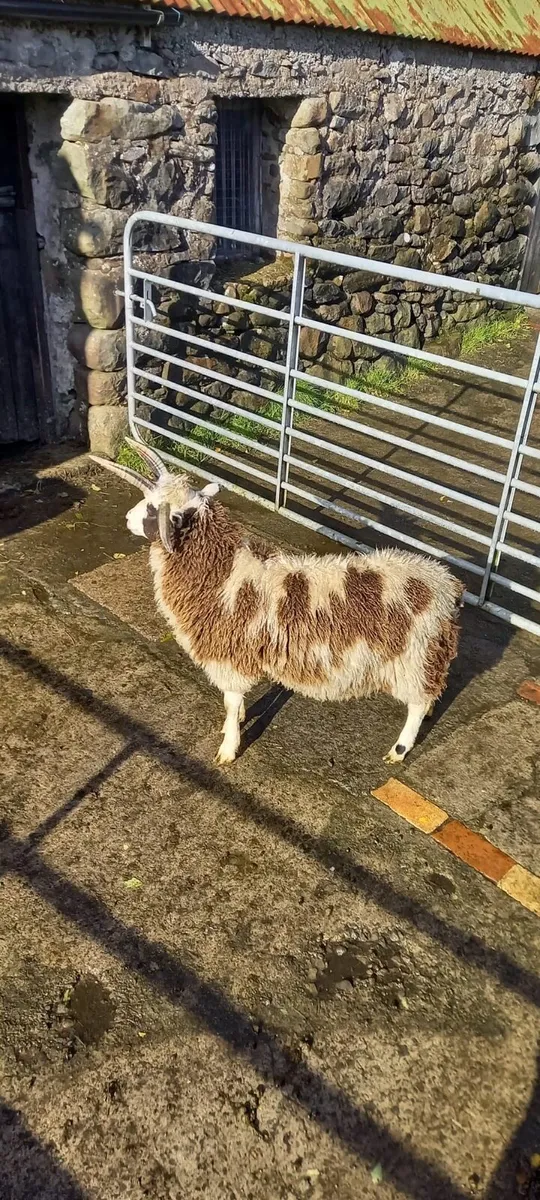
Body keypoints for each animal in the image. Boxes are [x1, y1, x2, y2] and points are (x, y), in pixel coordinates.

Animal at [93, 439, 464, 767]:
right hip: (426, 656)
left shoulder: (229, 654)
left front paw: (228, 749)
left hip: (411, 657)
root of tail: (447, 584)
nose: (127, 518)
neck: (220, 569)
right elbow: (234, 703)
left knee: (416, 705)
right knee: (430, 691)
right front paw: (236, 723)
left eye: (153, 508)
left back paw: (399, 750)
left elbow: (230, 702)